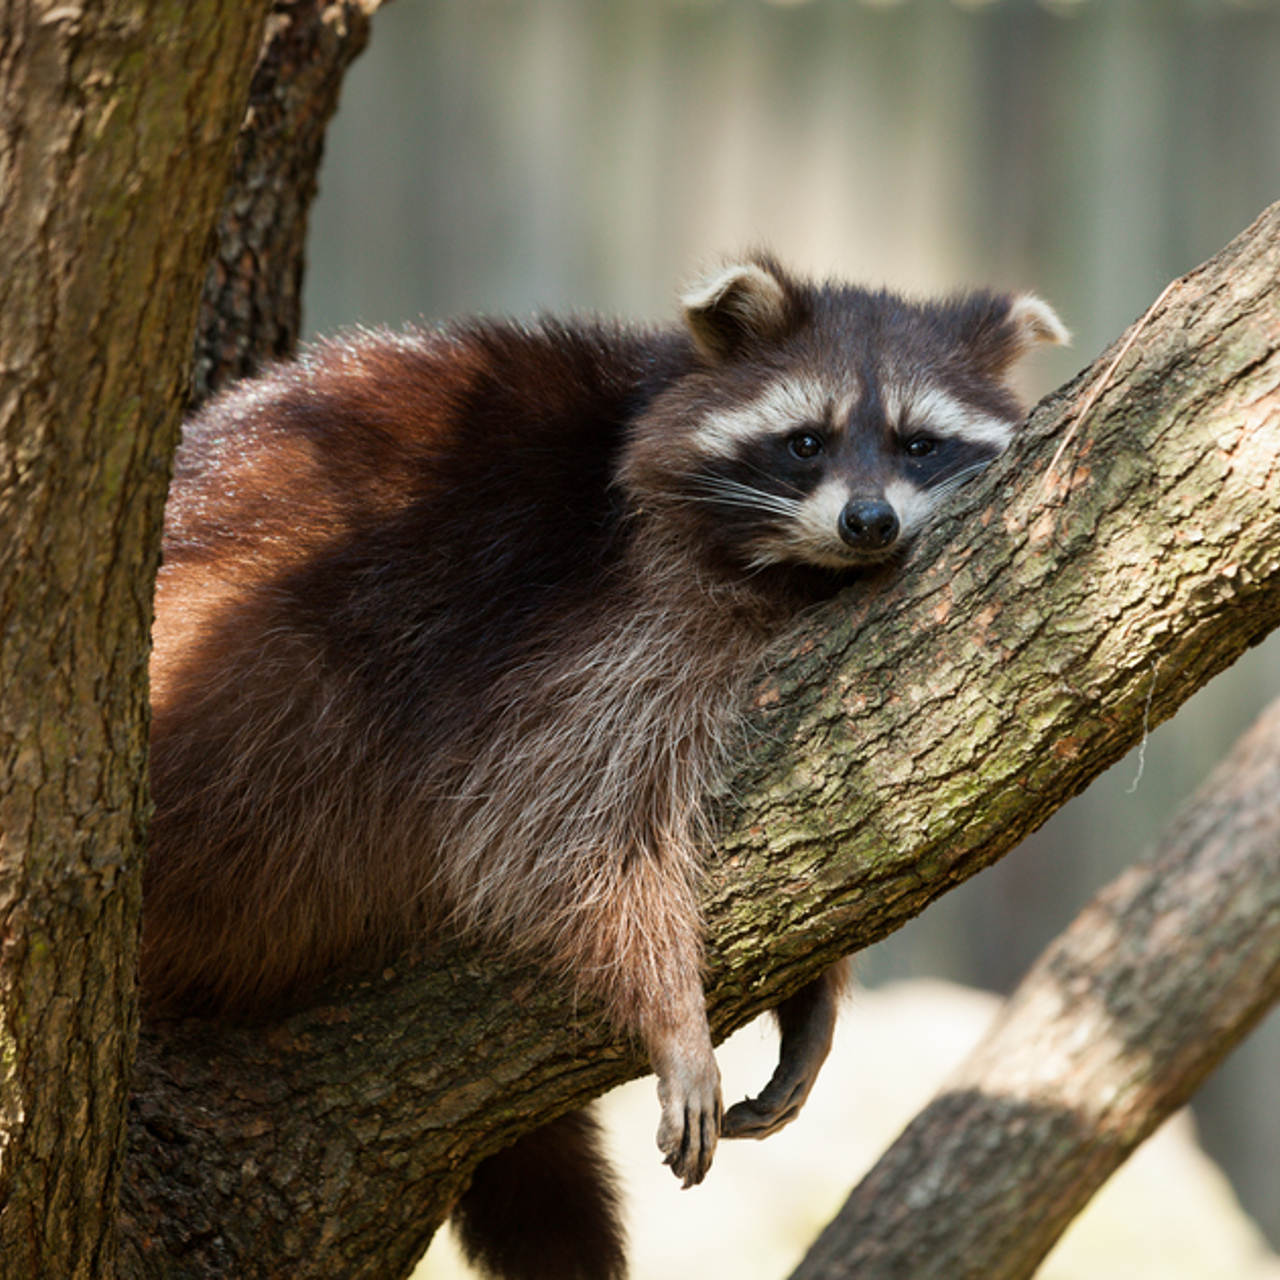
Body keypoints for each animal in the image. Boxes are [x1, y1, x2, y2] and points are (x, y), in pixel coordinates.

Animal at [142, 254, 1070, 1274]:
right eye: (804, 442)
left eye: (918, 445)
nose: (870, 523)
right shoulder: (597, 619)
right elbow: (551, 833)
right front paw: (673, 1005)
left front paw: (811, 996)